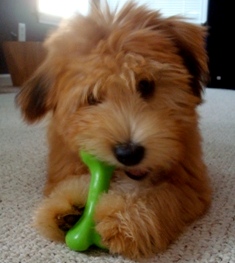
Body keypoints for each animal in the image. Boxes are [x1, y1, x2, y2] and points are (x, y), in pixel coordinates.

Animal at [16, 1, 211, 262]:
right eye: (92, 98)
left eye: (146, 85)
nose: (129, 153)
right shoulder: (63, 163)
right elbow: (66, 183)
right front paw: (67, 207)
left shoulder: (192, 183)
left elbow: (163, 196)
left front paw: (125, 220)